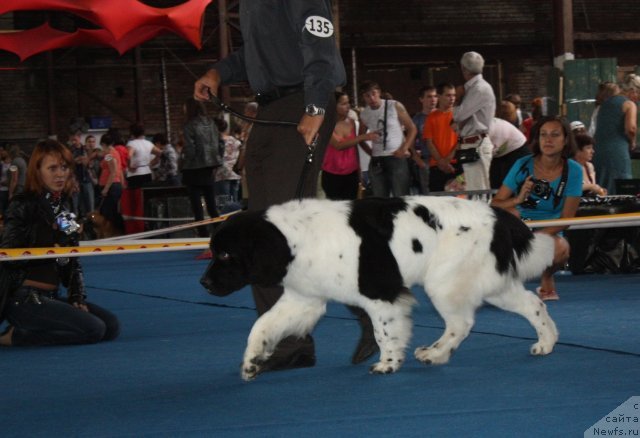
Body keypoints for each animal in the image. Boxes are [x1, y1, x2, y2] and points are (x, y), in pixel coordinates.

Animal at [202, 197, 556, 382]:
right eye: (214, 251)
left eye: (225, 254)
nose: (203, 283)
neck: (294, 238)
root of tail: (497, 214)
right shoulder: (304, 299)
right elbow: (262, 326)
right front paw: (252, 362)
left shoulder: (380, 295)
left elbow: (384, 332)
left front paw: (387, 363)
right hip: (490, 283)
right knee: (532, 304)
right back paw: (546, 343)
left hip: (445, 282)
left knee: (462, 323)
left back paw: (435, 353)